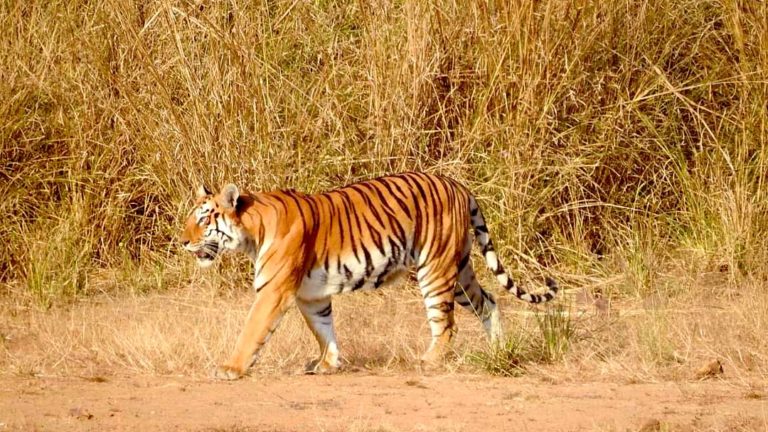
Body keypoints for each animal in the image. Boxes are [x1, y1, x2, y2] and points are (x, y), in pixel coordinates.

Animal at [180, 170, 560, 380]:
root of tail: (458, 185)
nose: (183, 241)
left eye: (203, 219)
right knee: (490, 302)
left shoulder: (274, 291)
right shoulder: (311, 295)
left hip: (436, 270)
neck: (251, 229)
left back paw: (428, 361)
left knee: (446, 324)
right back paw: (499, 351)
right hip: (461, 270)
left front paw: (231, 369)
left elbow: (252, 331)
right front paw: (328, 363)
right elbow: (324, 330)